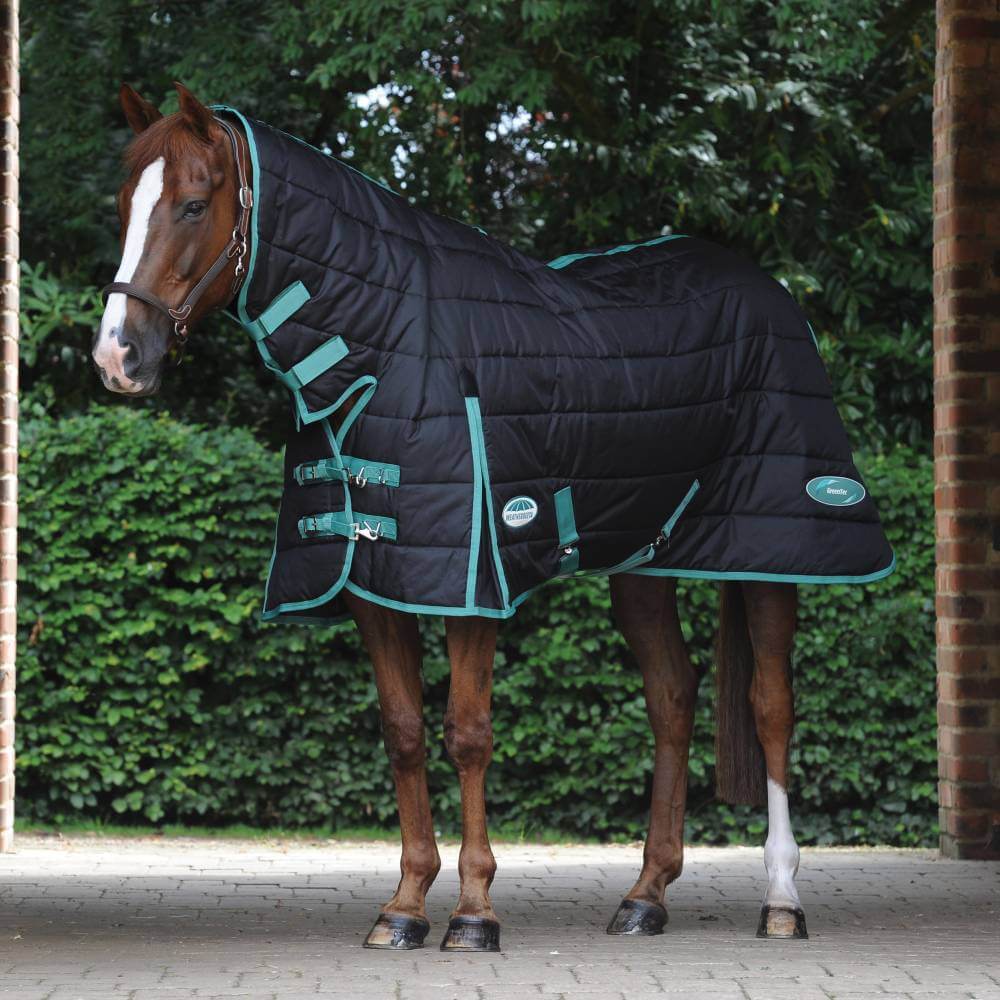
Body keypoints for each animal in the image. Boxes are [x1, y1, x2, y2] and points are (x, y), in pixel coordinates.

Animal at [93, 81, 877, 952]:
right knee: (672, 697)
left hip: (774, 550)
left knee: (771, 706)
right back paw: (646, 896)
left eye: (195, 204)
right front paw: (403, 907)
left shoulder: (470, 582)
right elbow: (404, 732)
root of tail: (766, 289)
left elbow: (467, 733)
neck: (383, 348)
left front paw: (473, 914)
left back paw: (782, 899)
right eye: (123, 203)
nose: (118, 356)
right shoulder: (378, 581)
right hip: (645, 557)